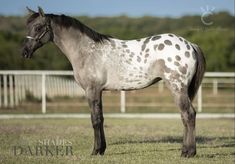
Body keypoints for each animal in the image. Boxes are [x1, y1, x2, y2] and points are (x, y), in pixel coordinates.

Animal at [22, 6, 206, 158]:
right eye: (28, 26)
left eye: (38, 27)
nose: (24, 52)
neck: (87, 51)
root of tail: (190, 44)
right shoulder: (99, 91)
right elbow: (101, 118)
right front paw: (102, 149)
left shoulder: (92, 90)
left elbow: (95, 120)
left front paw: (96, 151)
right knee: (185, 116)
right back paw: (185, 150)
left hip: (177, 87)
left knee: (188, 114)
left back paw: (188, 153)